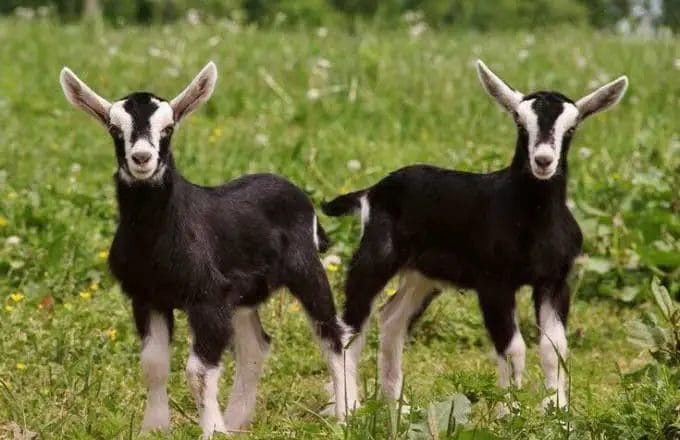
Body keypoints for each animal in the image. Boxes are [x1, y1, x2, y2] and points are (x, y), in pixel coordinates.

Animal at [59, 62, 358, 437]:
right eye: (114, 128)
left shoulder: (207, 298)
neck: (156, 238)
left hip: (306, 268)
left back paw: (346, 412)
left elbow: (198, 372)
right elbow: (153, 365)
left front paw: (211, 431)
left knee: (333, 333)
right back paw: (237, 421)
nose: (142, 158)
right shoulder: (146, 297)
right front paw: (154, 429)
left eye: (169, 128)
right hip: (244, 295)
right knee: (255, 347)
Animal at [322, 60, 628, 412]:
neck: (532, 220)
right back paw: (347, 409)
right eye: (520, 122)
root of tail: (371, 191)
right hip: (375, 259)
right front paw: (510, 412)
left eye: (572, 127)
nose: (543, 161)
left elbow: (554, 348)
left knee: (391, 319)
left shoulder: (554, 281)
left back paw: (398, 406)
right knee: (349, 330)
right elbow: (513, 348)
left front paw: (557, 411)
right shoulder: (493, 283)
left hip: (423, 276)